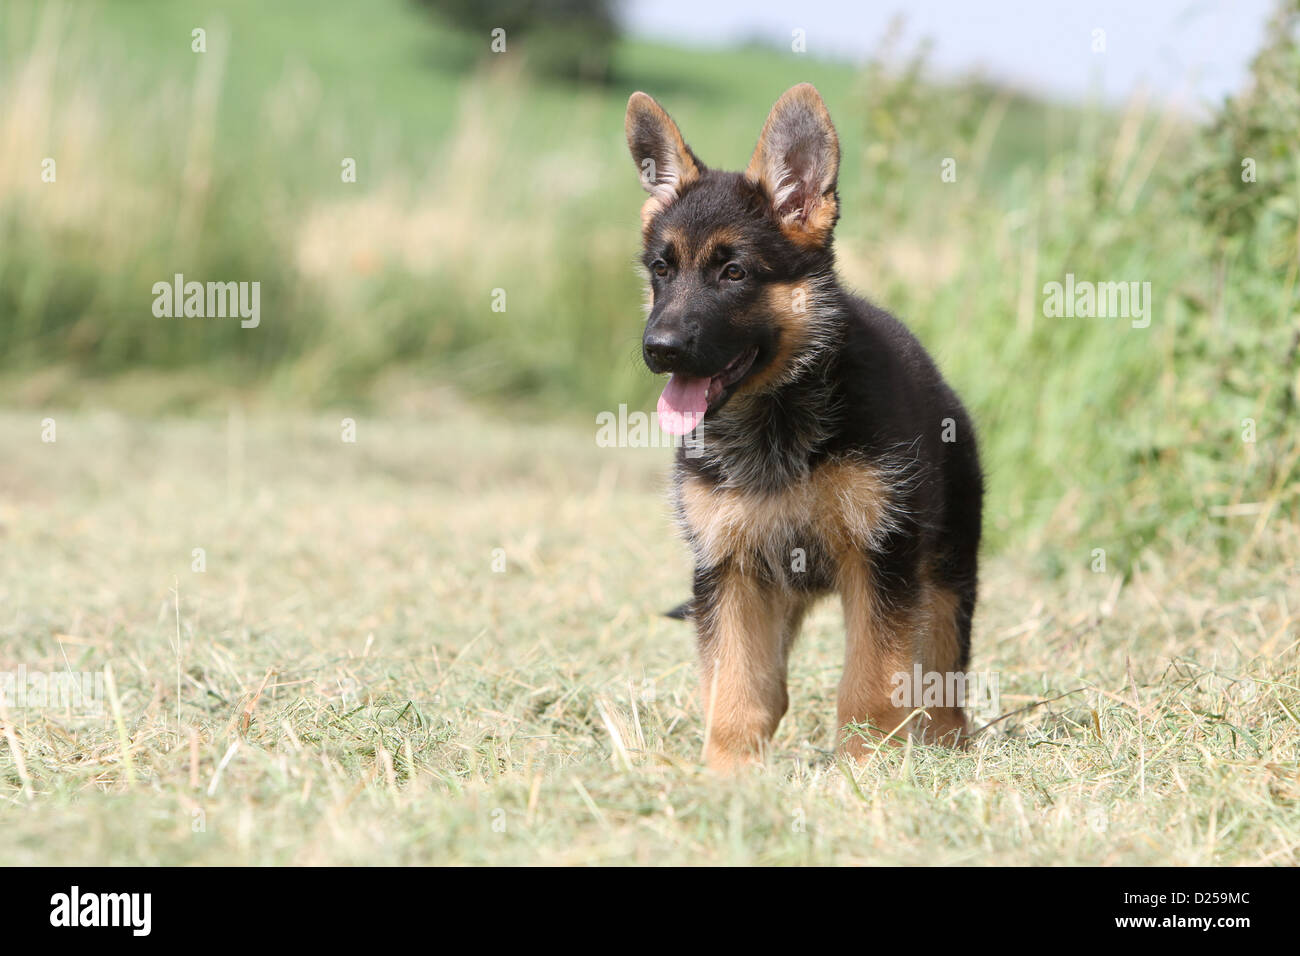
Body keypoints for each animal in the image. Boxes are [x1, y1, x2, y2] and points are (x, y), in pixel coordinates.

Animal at [624, 82, 977, 770]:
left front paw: (866, 768)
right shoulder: (728, 572)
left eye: (734, 273)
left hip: (946, 576)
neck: (775, 416)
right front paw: (727, 773)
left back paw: (948, 749)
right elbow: (737, 686)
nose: (660, 349)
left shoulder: (880, 562)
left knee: (944, 677)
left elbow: (871, 682)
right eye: (662, 270)